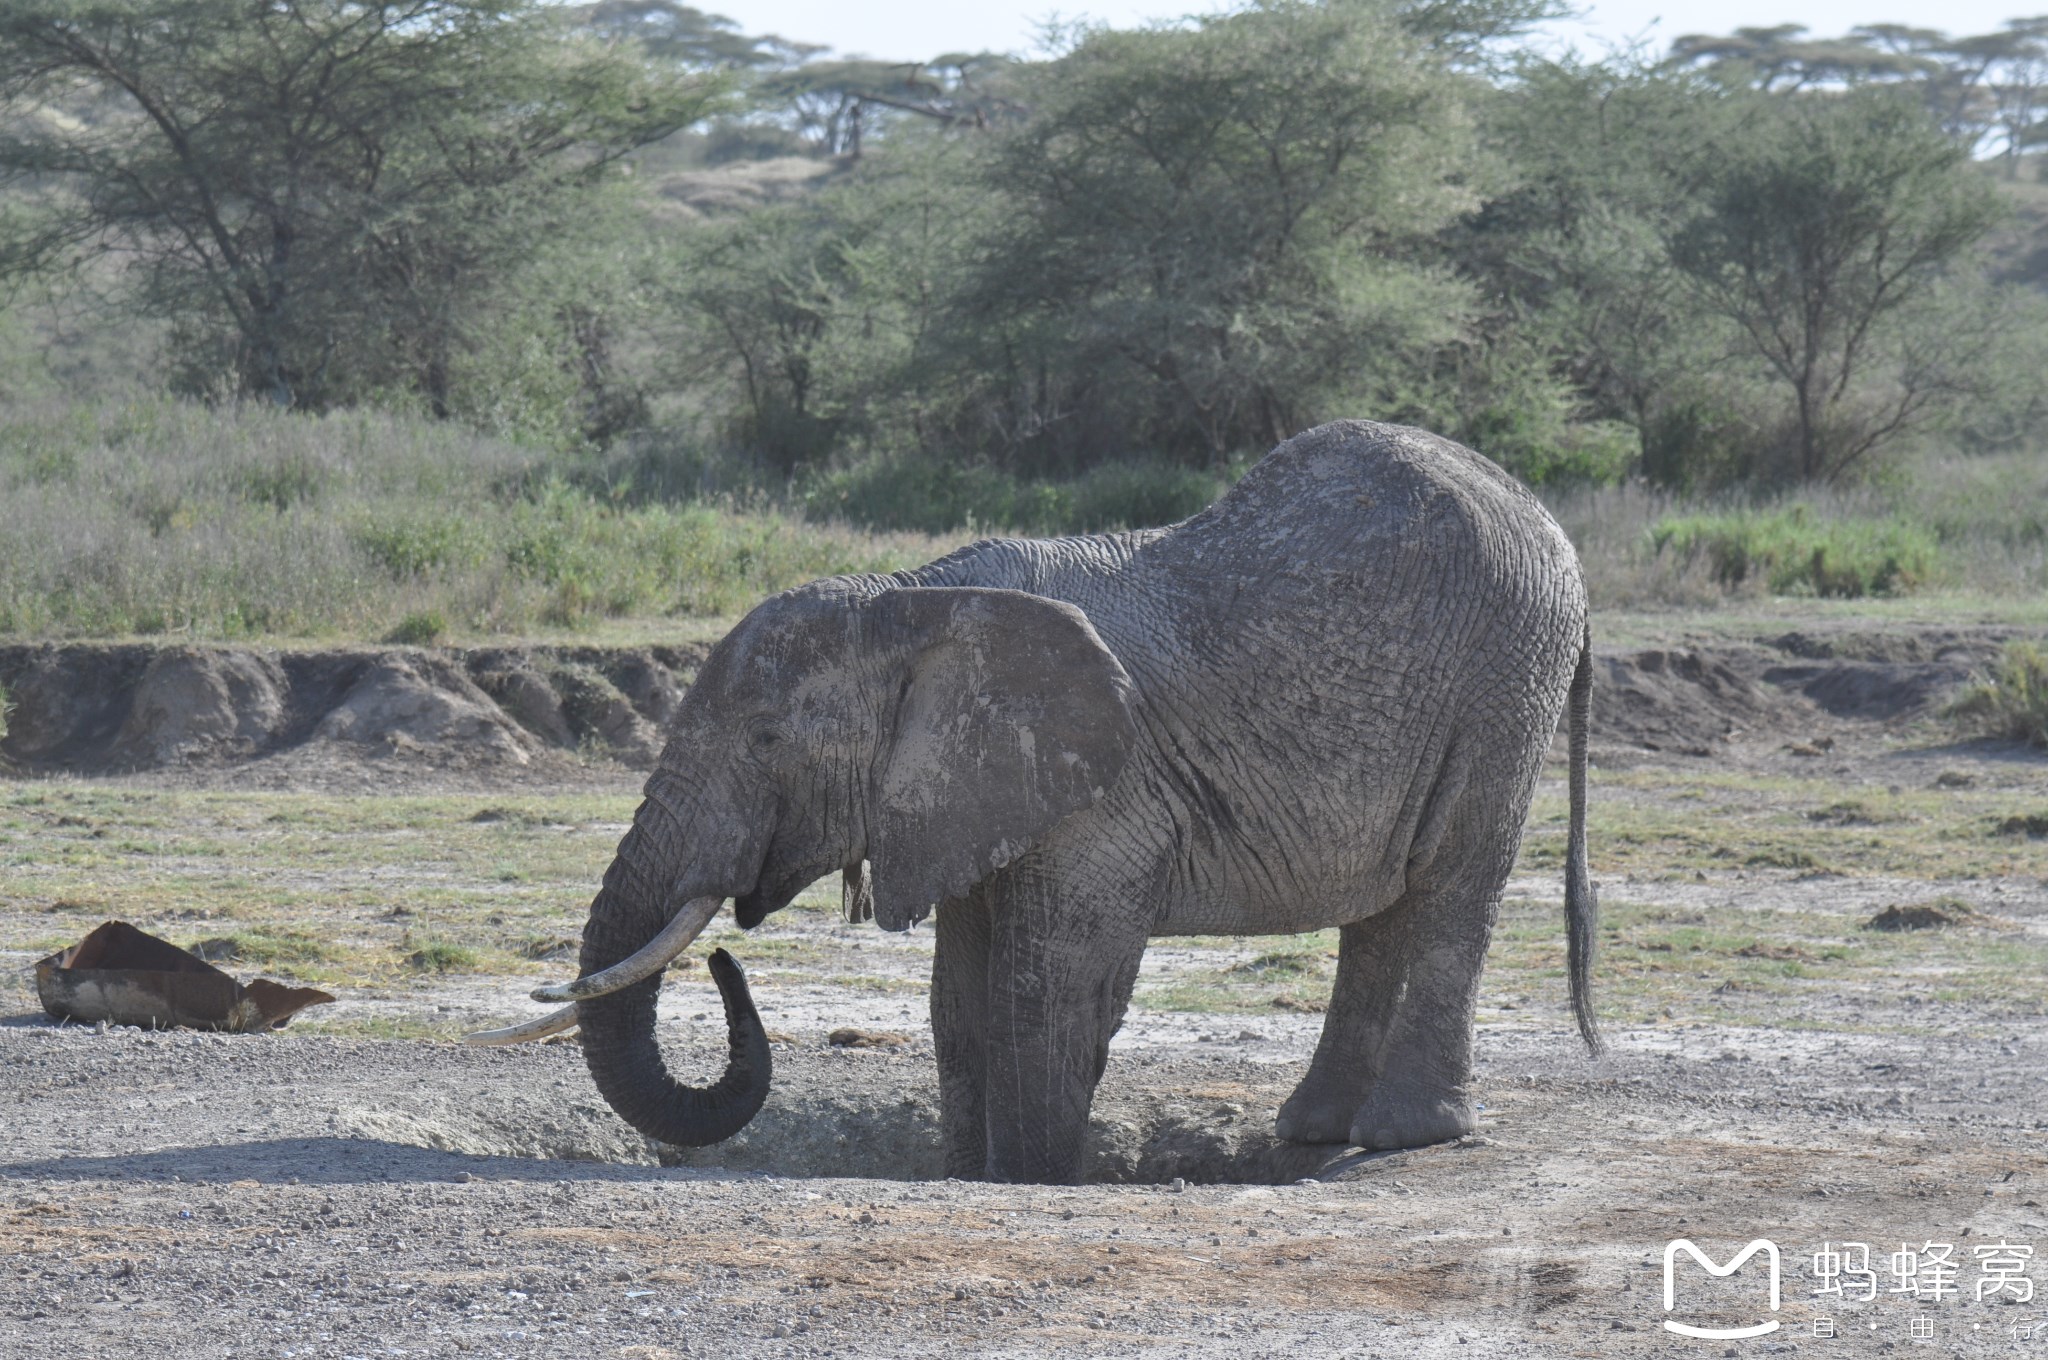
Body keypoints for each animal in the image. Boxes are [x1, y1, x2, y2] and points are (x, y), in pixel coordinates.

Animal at [468, 419, 1597, 1187]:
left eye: (766, 744)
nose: (719, 957)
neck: (912, 599)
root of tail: (1546, 519)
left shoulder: (1107, 785)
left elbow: (1043, 981)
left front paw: (1031, 1176)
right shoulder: (964, 787)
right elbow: (959, 997)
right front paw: (973, 1174)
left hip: (1504, 686)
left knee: (1449, 886)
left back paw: (1406, 1136)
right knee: (1384, 904)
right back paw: (1315, 1134)